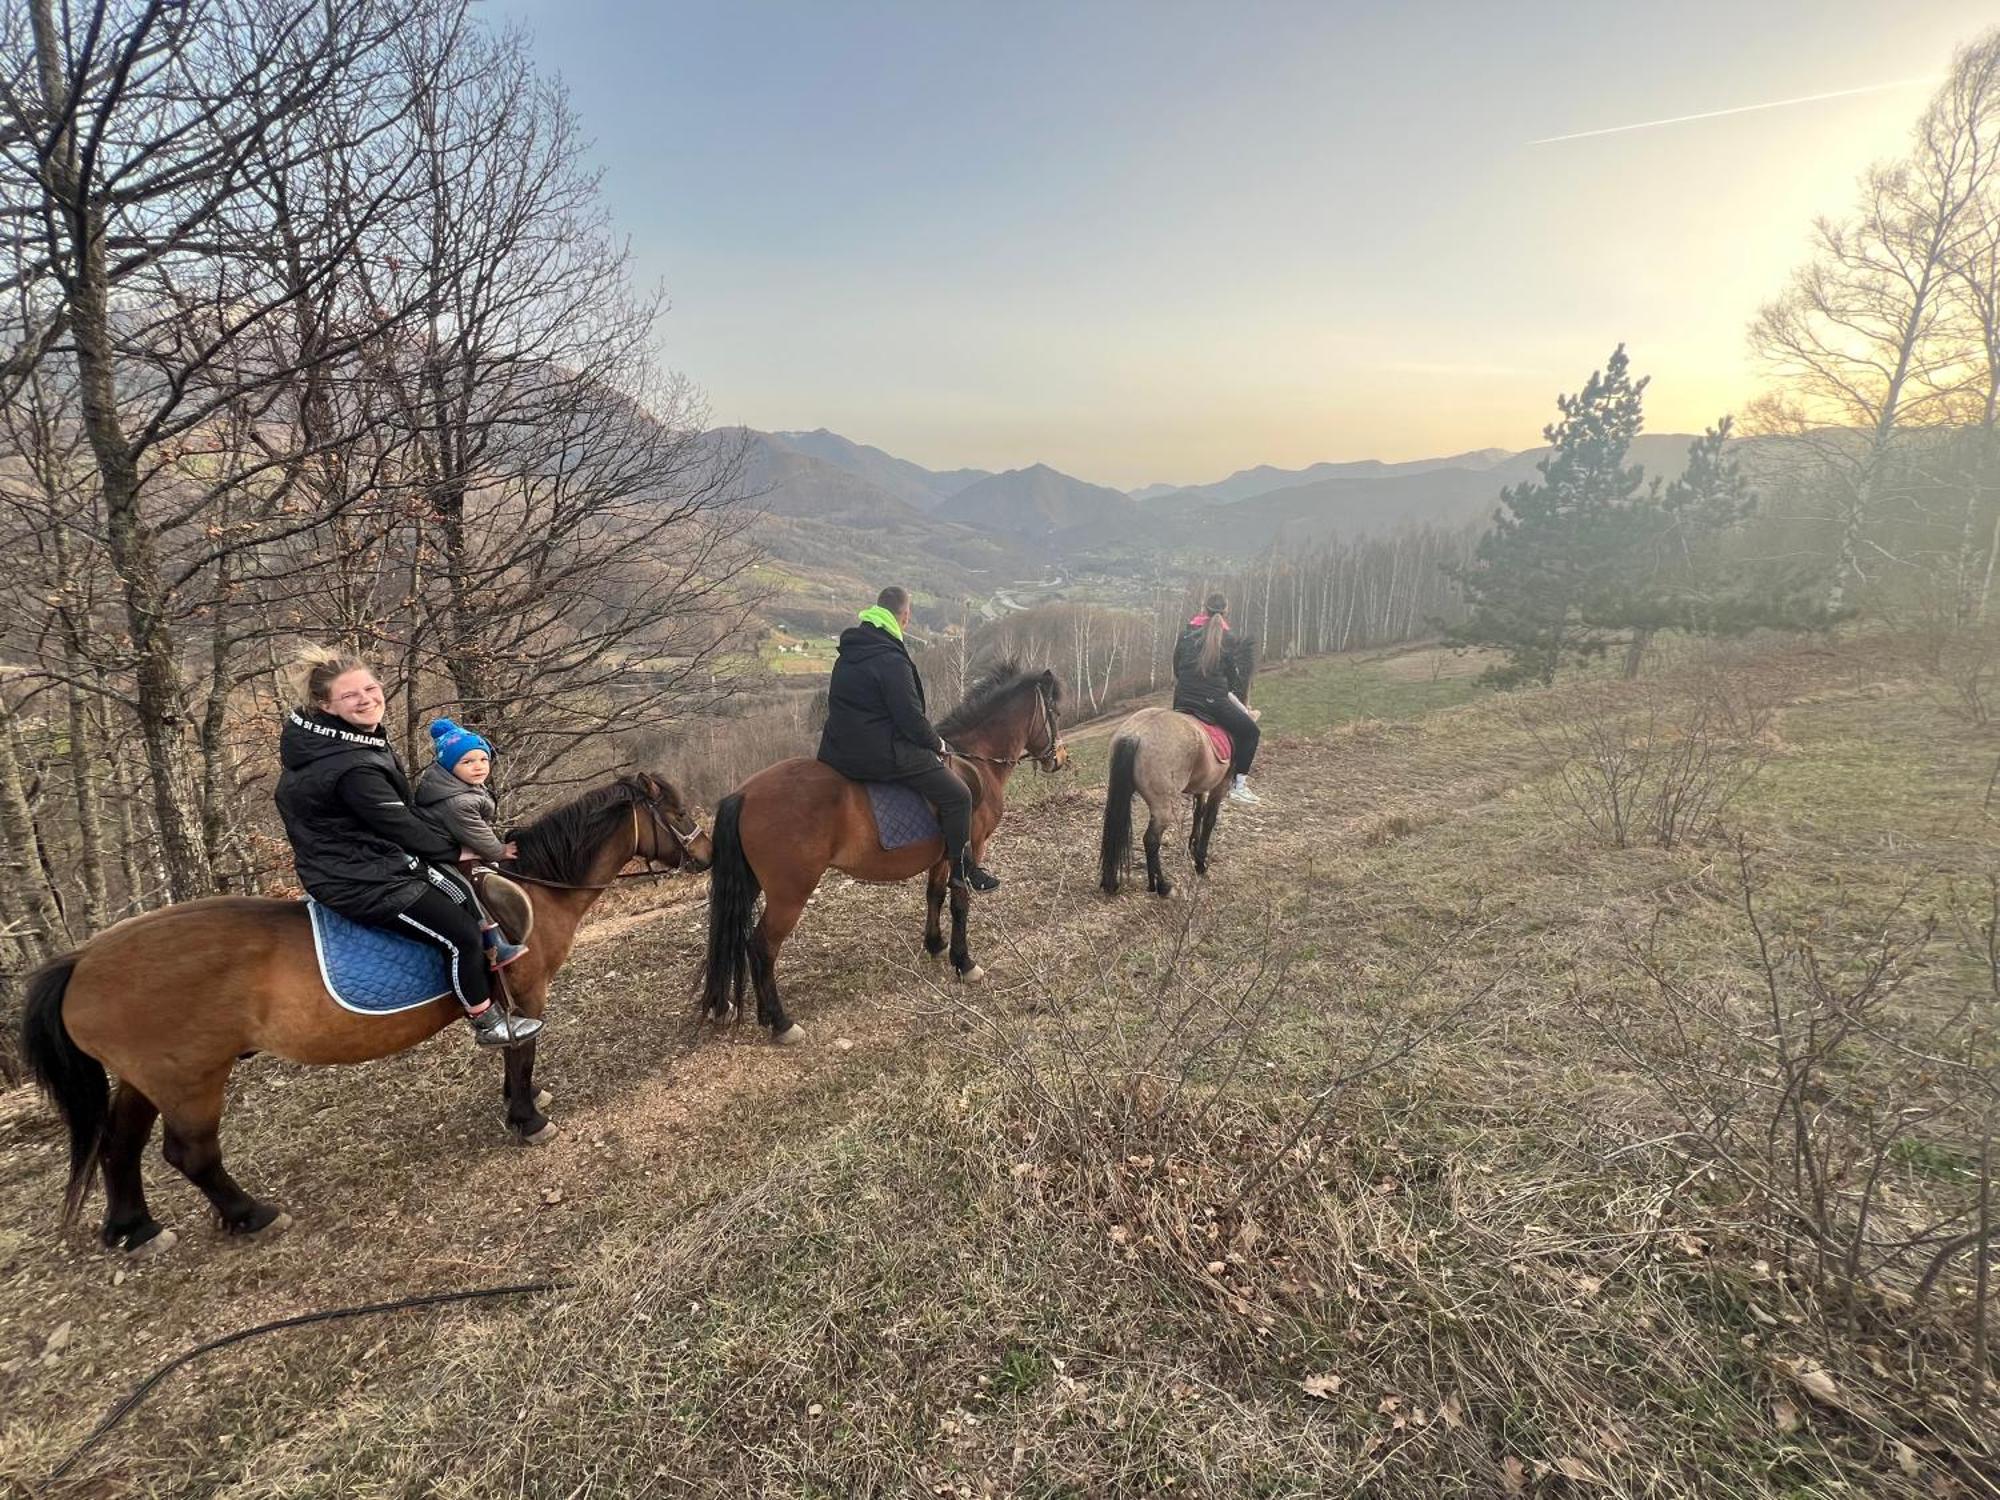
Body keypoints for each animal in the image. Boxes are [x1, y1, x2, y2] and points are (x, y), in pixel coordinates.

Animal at [19, 776, 708, 1256]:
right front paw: (527, 1117)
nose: (704, 855)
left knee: (119, 1146)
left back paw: (135, 1229)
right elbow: (519, 1049)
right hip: (190, 1077)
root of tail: (83, 958)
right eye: (676, 815)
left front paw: (526, 1100)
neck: (530, 887)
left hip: (145, 1078)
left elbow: (520, 1058)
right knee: (190, 1153)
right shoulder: (526, 990)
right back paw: (252, 1215)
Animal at [700, 664, 1064, 1040]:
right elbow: (960, 903)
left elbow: (935, 895)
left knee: (740, 943)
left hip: (752, 885)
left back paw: (750, 1013)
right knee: (762, 946)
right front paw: (965, 963)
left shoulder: (942, 857)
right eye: (1055, 711)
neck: (976, 761)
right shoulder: (971, 849)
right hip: (790, 894)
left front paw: (935, 944)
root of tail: (743, 793)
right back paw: (781, 1022)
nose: (1058, 759)